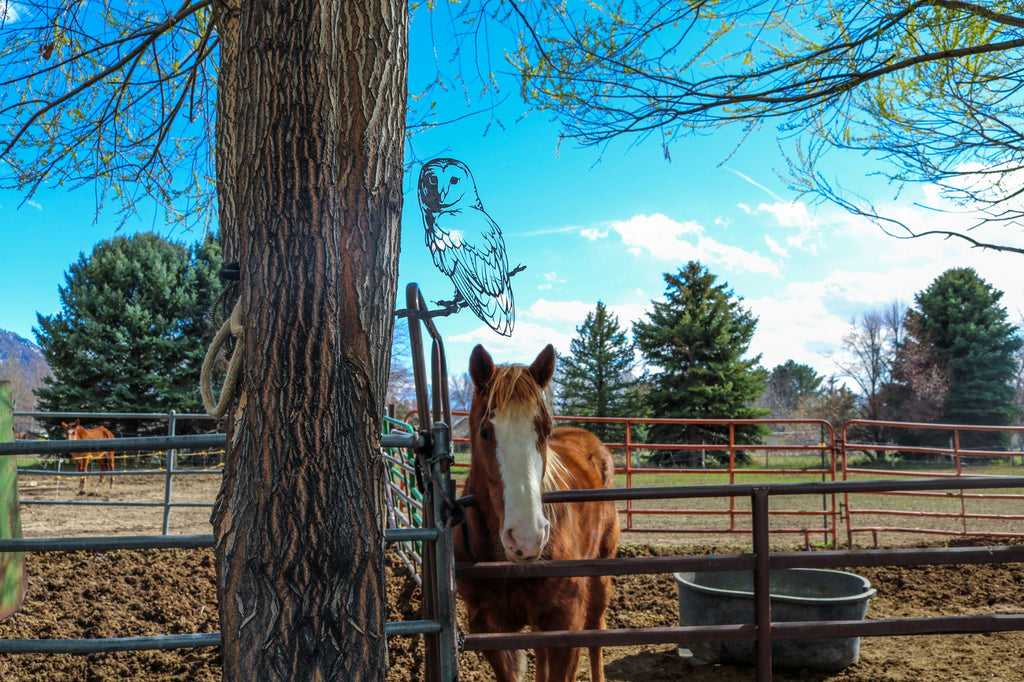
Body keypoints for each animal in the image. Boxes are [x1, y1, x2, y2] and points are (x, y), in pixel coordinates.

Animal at [458, 346, 618, 679]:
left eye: (545, 431)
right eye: (484, 432)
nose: (526, 539)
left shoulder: (565, 623)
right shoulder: (489, 628)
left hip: (601, 577)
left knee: (597, 632)